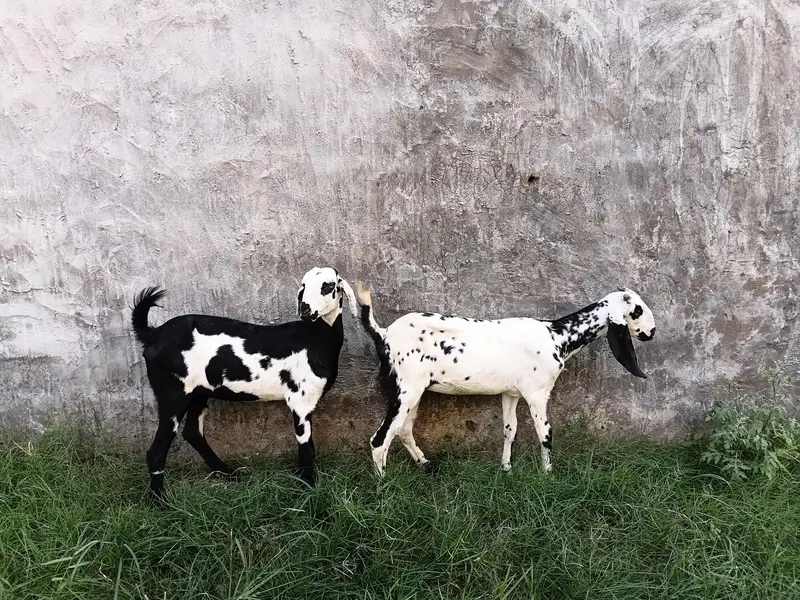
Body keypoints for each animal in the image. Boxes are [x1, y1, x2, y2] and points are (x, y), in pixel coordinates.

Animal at [131, 267, 357, 500]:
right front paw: (310, 489)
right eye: (303, 286)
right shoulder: (301, 400)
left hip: (198, 393)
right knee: (157, 450)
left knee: (193, 432)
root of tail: (154, 334)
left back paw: (229, 473)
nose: (305, 309)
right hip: (173, 393)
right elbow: (306, 449)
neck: (315, 338)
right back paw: (159, 500)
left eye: (328, 285)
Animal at [356, 284, 656, 474]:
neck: (557, 336)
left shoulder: (511, 393)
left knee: (403, 430)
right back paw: (384, 484)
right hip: (405, 389)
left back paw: (425, 464)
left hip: (413, 391)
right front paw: (548, 474)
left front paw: (506, 468)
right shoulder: (537, 393)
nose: (651, 332)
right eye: (637, 310)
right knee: (380, 438)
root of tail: (383, 334)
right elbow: (545, 433)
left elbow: (510, 430)